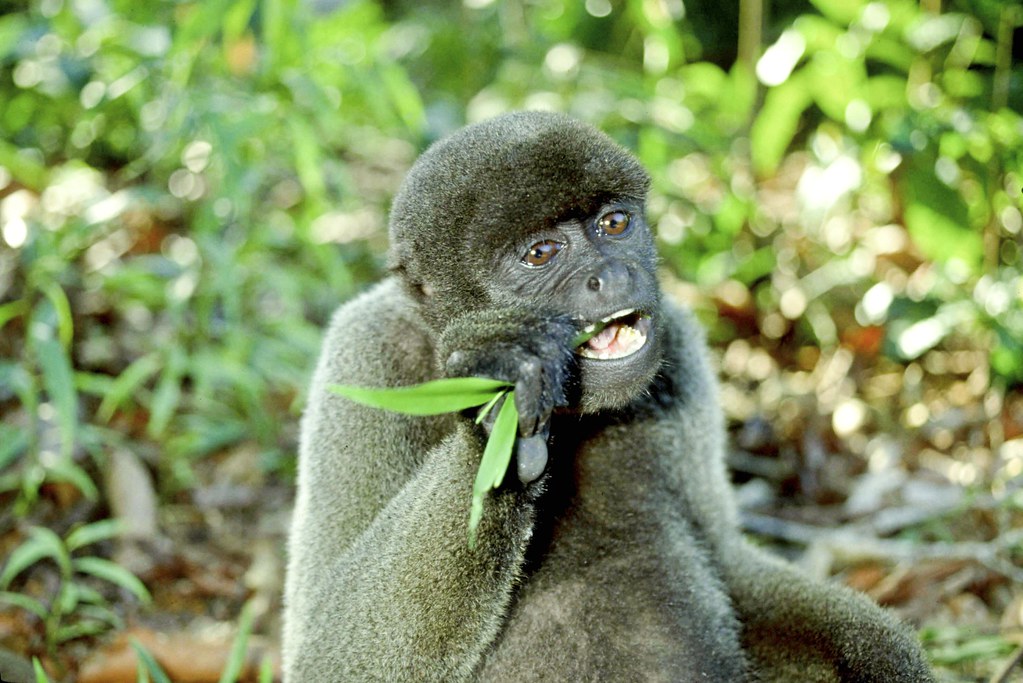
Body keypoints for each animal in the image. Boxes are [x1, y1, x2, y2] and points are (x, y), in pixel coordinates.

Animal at [282, 113, 937, 683]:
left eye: (615, 224)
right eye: (541, 253)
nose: (615, 274)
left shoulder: (682, 347)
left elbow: (729, 561)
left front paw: (878, 653)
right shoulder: (365, 351)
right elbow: (323, 654)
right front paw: (500, 417)